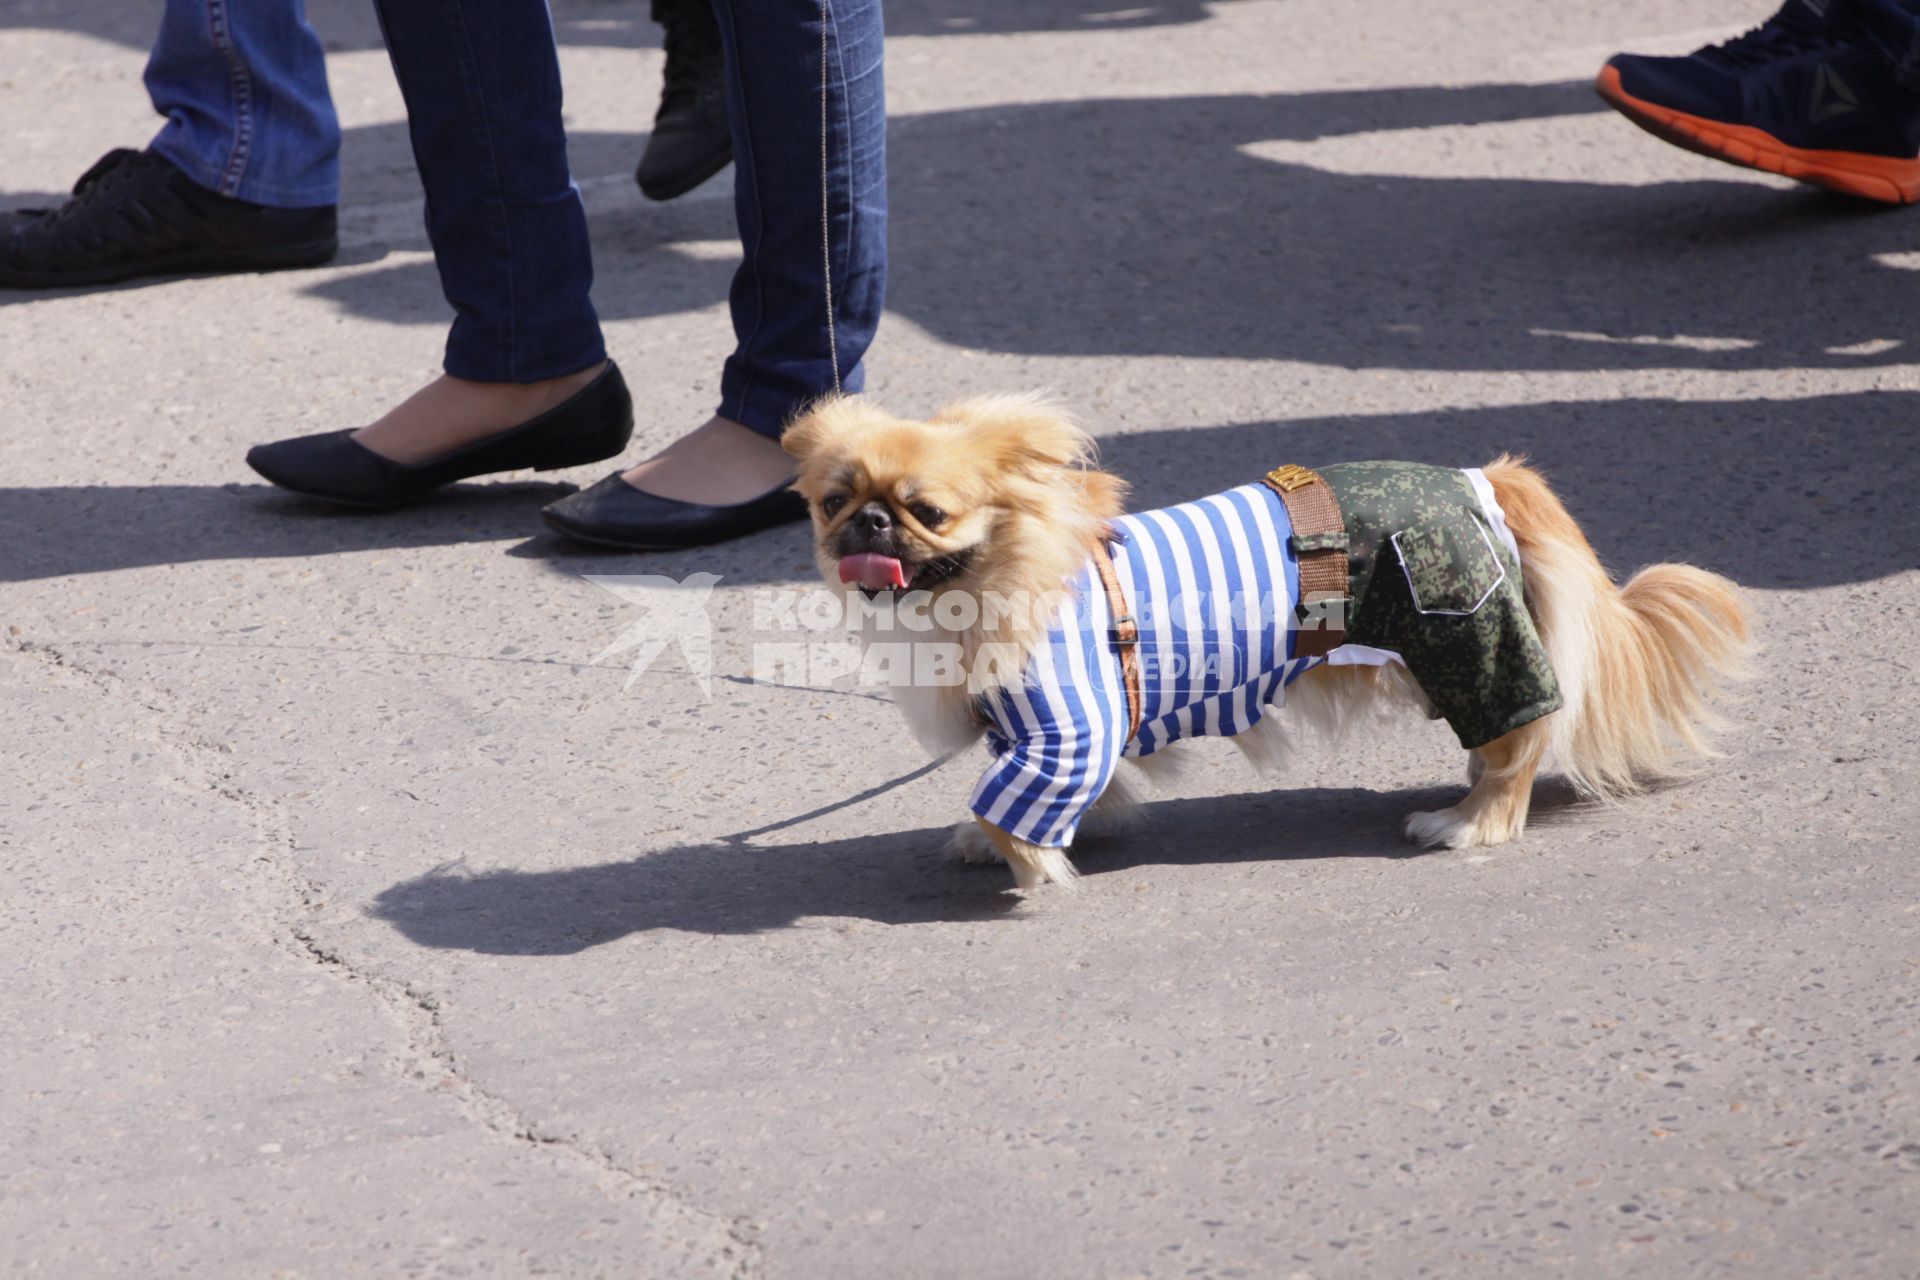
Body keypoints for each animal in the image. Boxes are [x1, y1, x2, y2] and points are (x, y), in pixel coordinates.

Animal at [783, 393, 1758, 890]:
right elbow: (1054, 796)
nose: (869, 521)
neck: (992, 579)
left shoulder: (1064, 733)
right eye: (833, 502)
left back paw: (1467, 822)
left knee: (1517, 748)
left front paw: (1031, 869)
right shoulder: (1040, 734)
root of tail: (1489, 481)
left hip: (1468, 638)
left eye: (928, 512)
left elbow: (1013, 802)